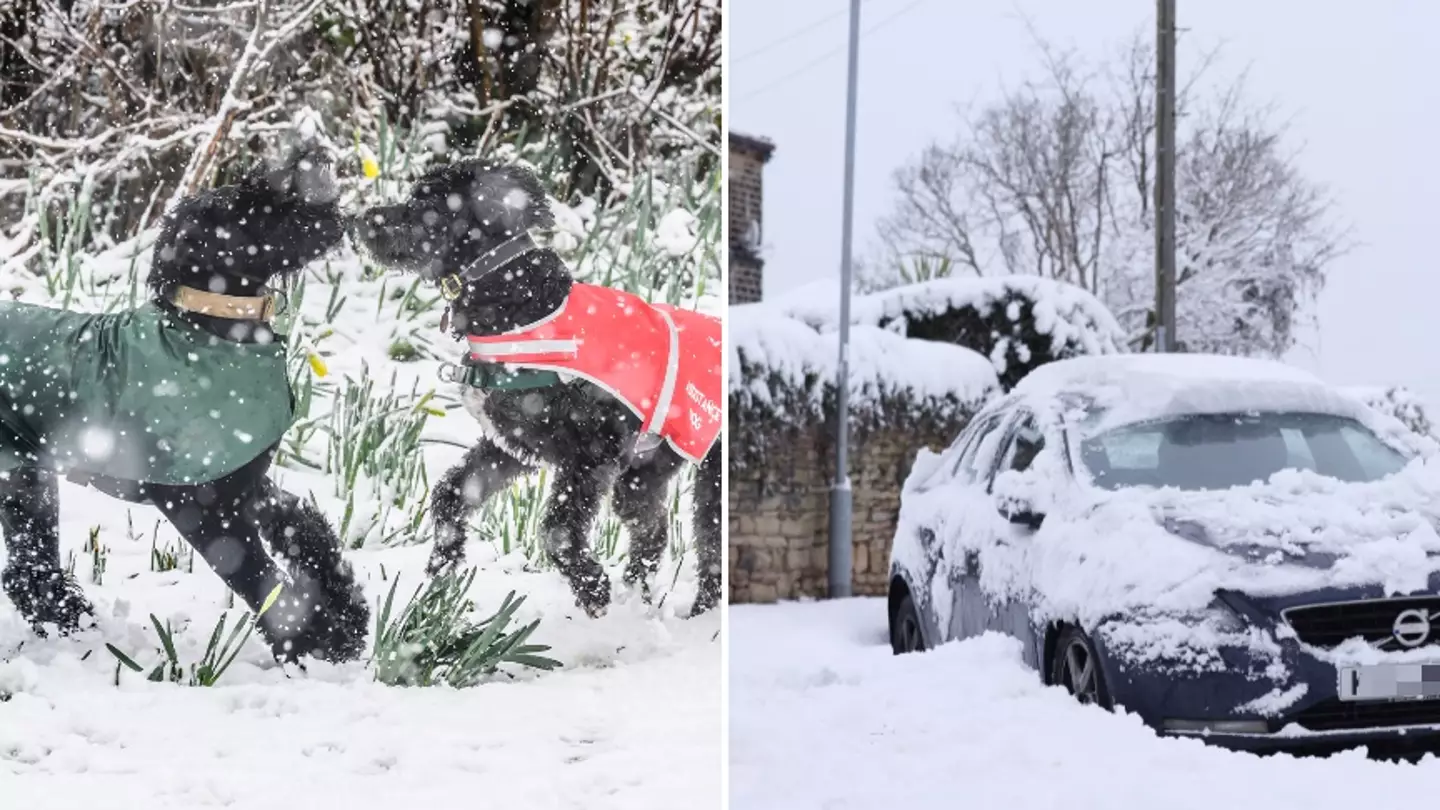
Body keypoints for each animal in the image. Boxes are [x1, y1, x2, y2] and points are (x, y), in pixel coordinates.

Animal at [1, 149, 371, 662]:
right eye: (246, 205)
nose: (313, 167)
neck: (212, 331)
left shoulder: (244, 481)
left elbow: (302, 527)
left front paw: (348, 617)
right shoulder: (200, 504)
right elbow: (262, 581)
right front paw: (319, 644)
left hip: (25, 473)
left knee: (28, 567)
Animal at [349, 162, 720, 616]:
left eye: (425, 202)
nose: (361, 219)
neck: (517, 304)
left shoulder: (591, 453)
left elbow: (558, 532)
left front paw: (592, 589)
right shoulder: (512, 445)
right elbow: (452, 491)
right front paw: (443, 563)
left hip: (708, 478)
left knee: (713, 549)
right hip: (644, 473)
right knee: (652, 534)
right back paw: (637, 602)